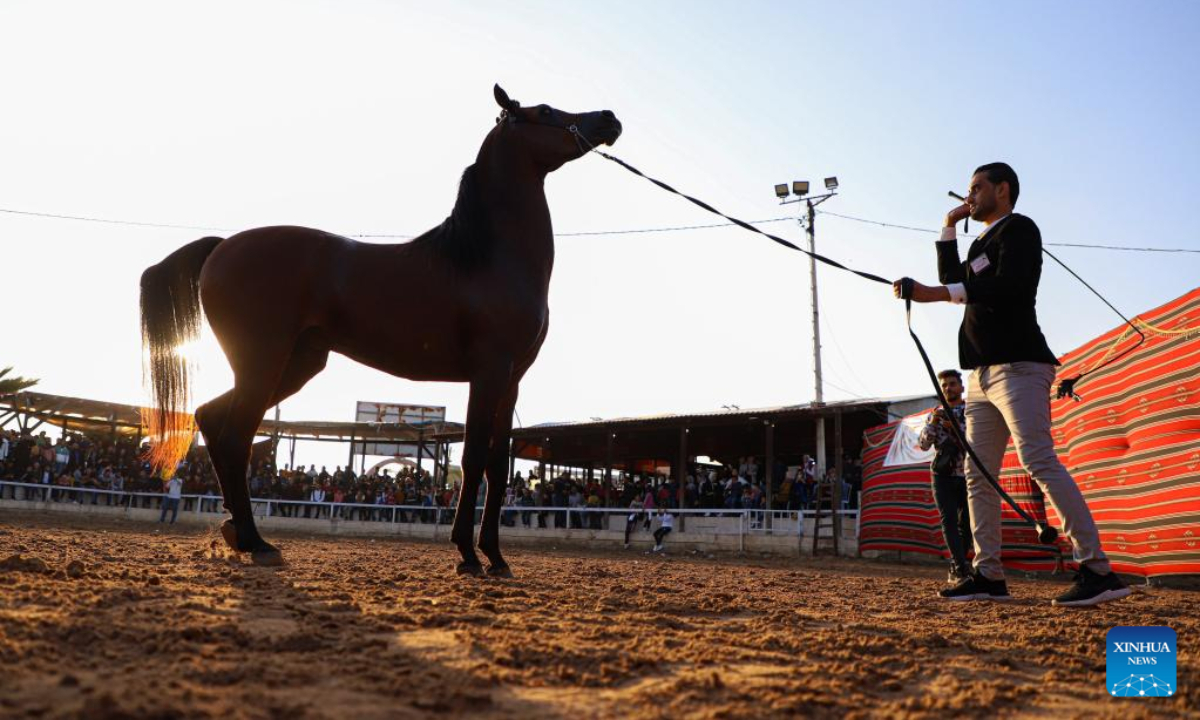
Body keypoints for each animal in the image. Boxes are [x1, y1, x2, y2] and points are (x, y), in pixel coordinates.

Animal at [142, 84, 619, 576]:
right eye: (544, 110)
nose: (609, 118)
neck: (485, 257)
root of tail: (221, 247)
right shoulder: (487, 374)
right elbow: (472, 460)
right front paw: (468, 555)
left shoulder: (511, 381)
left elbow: (496, 469)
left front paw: (496, 557)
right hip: (262, 363)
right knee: (237, 436)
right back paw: (256, 542)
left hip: (294, 365)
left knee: (212, 418)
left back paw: (238, 533)